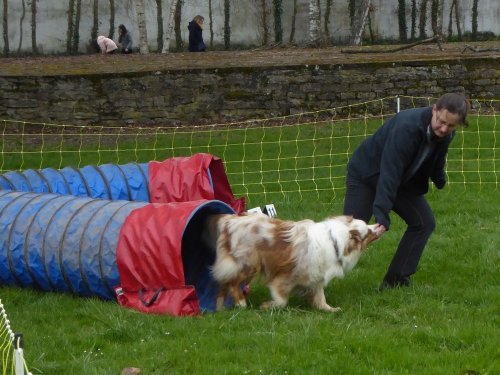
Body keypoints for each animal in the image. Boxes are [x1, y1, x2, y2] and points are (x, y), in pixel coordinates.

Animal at [200, 213, 378, 312]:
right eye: (368, 232)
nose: (380, 225)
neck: (336, 242)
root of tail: (227, 221)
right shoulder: (284, 278)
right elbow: (281, 300)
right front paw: (267, 306)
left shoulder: (316, 277)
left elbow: (320, 297)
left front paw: (330, 309)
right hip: (248, 265)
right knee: (233, 284)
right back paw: (241, 304)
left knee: (222, 285)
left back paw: (220, 308)